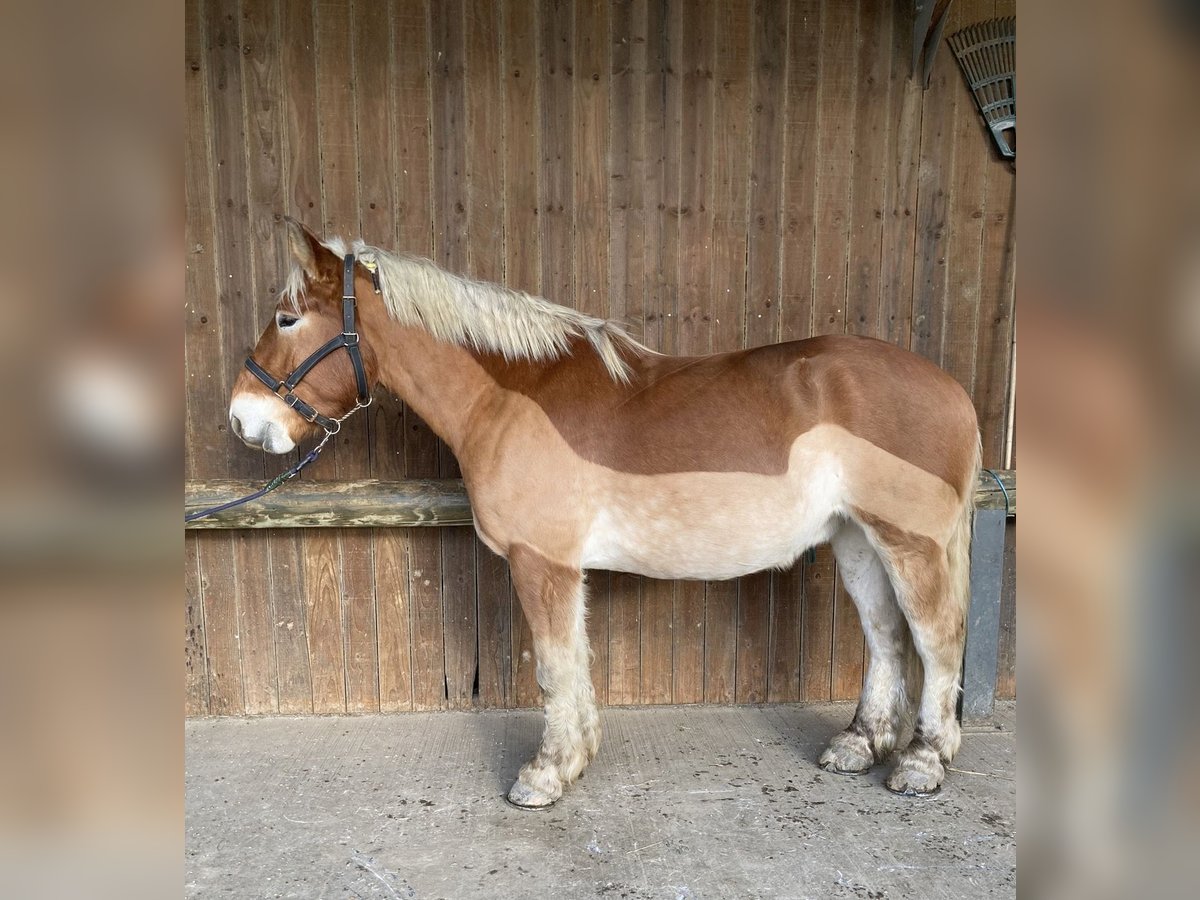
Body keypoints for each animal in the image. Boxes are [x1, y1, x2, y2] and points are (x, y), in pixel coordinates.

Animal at [229, 222, 979, 806]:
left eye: (288, 318)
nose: (242, 418)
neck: (512, 396)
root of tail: (953, 389)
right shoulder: (563, 568)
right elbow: (576, 661)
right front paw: (577, 756)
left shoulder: (542, 563)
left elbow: (554, 665)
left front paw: (545, 774)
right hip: (857, 539)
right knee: (885, 635)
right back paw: (858, 745)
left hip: (910, 543)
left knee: (937, 638)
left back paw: (923, 762)